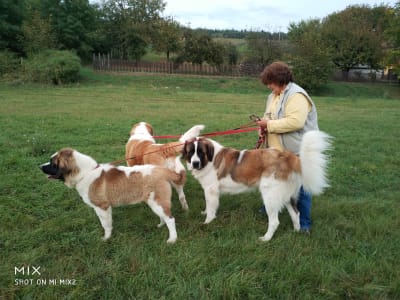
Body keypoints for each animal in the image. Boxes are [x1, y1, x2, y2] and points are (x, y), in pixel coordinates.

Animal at [40, 149, 188, 243]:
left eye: (52, 163)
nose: (39, 166)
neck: (85, 173)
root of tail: (162, 170)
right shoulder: (103, 208)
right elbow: (107, 223)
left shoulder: (102, 207)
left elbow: (105, 224)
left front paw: (106, 238)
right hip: (154, 202)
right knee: (164, 216)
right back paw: (161, 224)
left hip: (158, 202)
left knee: (171, 219)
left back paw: (172, 239)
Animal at [182, 131, 332, 241]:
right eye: (191, 152)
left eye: (200, 152)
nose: (195, 163)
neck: (210, 159)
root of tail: (286, 156)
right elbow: (208, 206)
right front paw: (205, 213)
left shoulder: (211, 190)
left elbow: (211, 207)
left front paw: (207, 222)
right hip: (287, 196)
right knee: (296, 214)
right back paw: (296, 231)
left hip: (270, 195)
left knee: (274, 221)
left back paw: (266, 238)